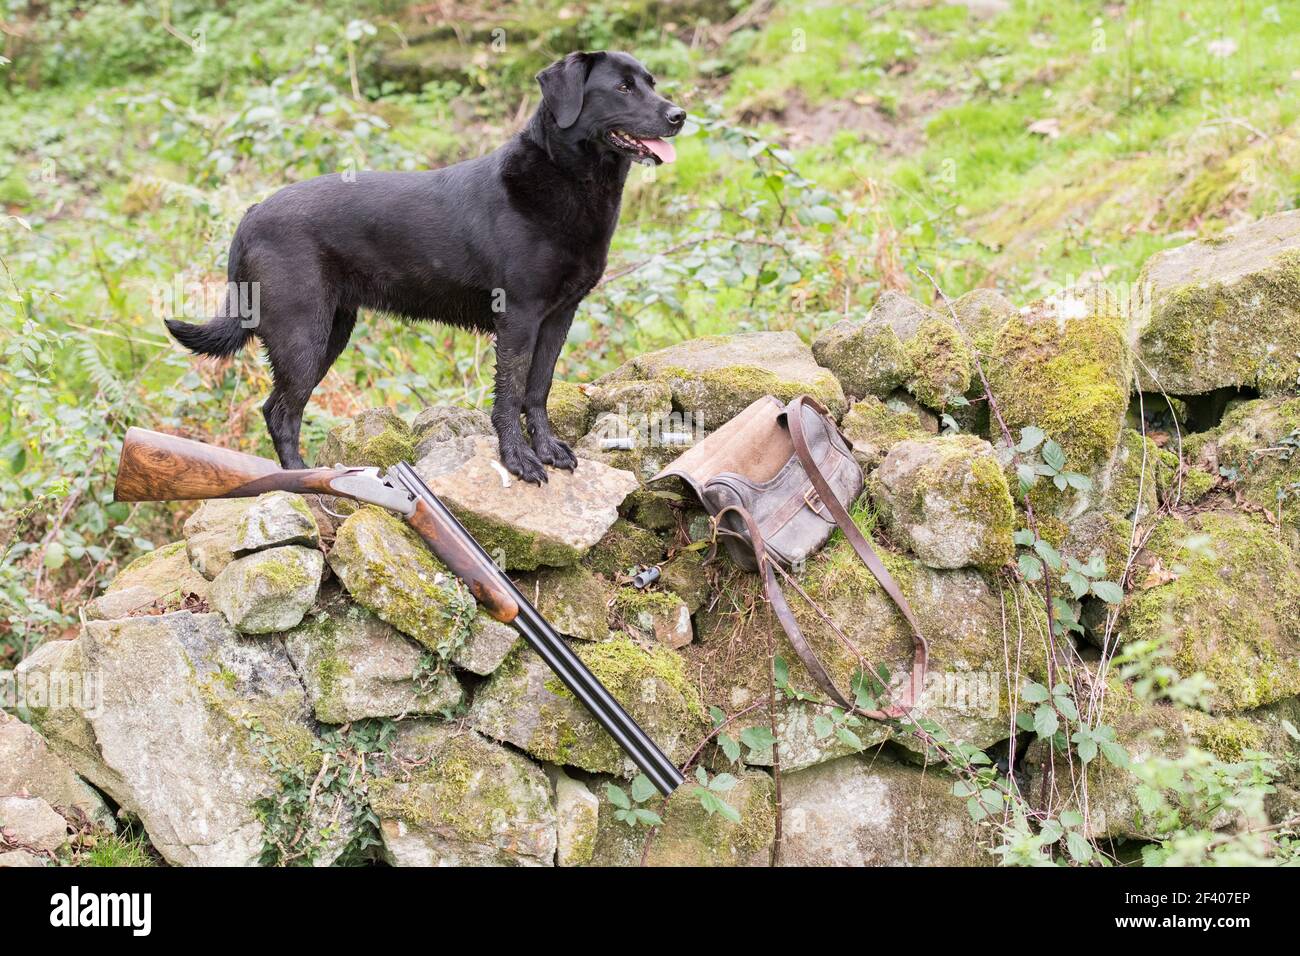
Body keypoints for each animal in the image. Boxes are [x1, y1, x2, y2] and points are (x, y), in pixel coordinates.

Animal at [167, 51, 686, 481]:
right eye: (622, 88)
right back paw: (304, 480)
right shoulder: (518, 317)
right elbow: (510, 393)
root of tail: (251, 213)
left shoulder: (558, 317)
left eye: (651, 82)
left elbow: (538, 390)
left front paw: (548, 450)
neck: (569, 181)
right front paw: (517, 461)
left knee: (280, 409)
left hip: (334, 329)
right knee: (281, 413)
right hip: (302, 335)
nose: (679, 115)